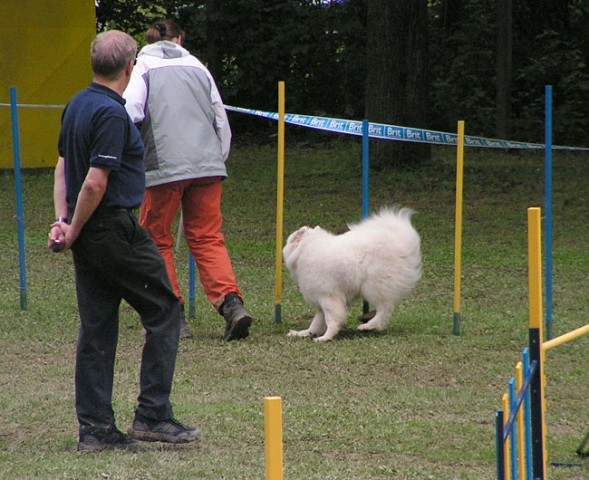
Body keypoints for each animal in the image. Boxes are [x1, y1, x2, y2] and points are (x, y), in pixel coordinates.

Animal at [282, 207, 420, 342]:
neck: (305, 250)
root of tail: (401, 242)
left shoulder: (329, 298)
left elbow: (331, 320)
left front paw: (326, 337)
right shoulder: (320, 301)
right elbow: (316, 323)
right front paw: (303, 333)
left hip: (374, 288)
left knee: (385, 309)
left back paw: (368, 325)